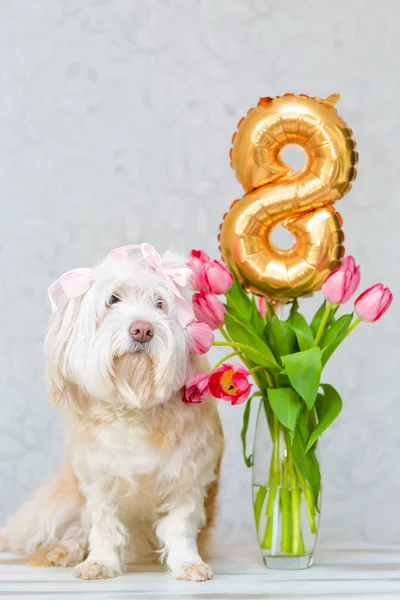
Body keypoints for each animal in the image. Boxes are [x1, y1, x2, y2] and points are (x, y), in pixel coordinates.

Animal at [0, 244, 223, 580]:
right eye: (113, 299)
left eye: (160, 304)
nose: (142, 329)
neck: (133, 407)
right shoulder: (99, 480)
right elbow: (104, 526)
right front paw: (100, 562)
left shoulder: (187, 477)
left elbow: (180, 525)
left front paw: (188, 563)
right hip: (55, 505)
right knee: (68, 531)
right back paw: (62, 550)